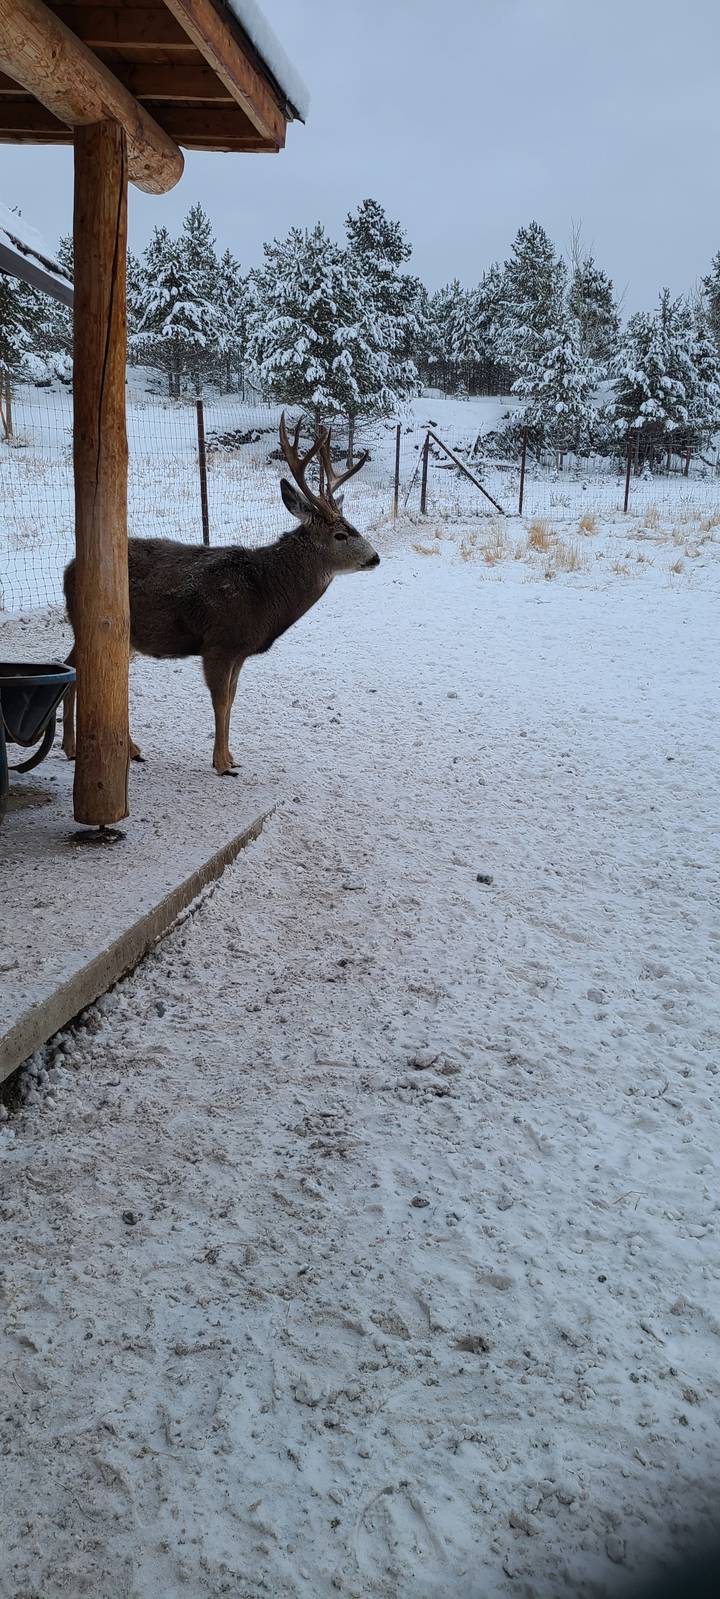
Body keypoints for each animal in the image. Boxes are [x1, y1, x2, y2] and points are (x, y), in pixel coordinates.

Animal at [61, 414, 380, 776]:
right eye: (341, 534)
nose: (375, 558)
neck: (265, 592)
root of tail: (68, 569)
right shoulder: (219, 642)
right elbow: (221, 699)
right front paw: (221, 762)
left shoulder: (240, 651)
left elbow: (233, 698)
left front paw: (230, 755)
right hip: (91, 623)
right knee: (76, 669)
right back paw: (78, 747)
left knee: (79, 668)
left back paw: (112, 748)